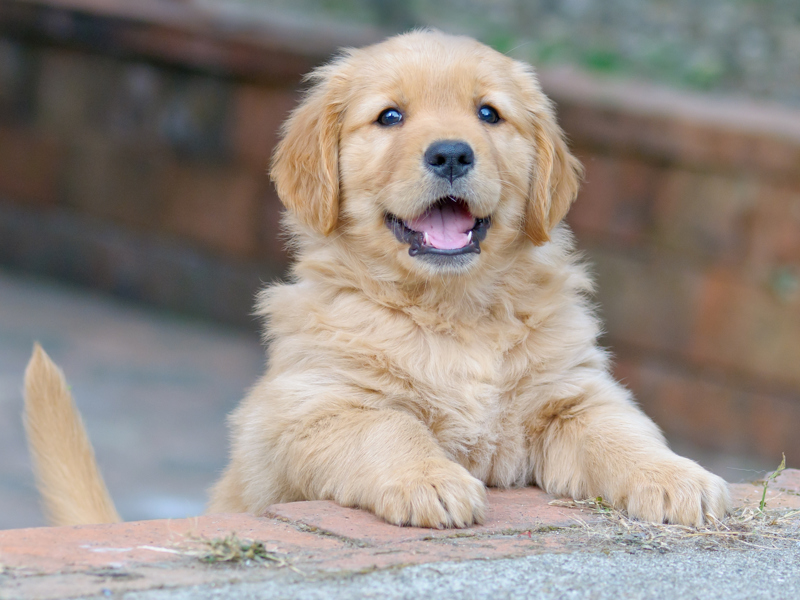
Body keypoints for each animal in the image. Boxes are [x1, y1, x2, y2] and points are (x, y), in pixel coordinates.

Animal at [23, 30, 732, 528]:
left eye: (489, 114)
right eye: (390, 117)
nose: (451, 153)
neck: (452, 312)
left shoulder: (572, 395)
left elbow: (622, 432)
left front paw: (678, 478)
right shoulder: (317, 407)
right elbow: (390, 430)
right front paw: (429, 480)